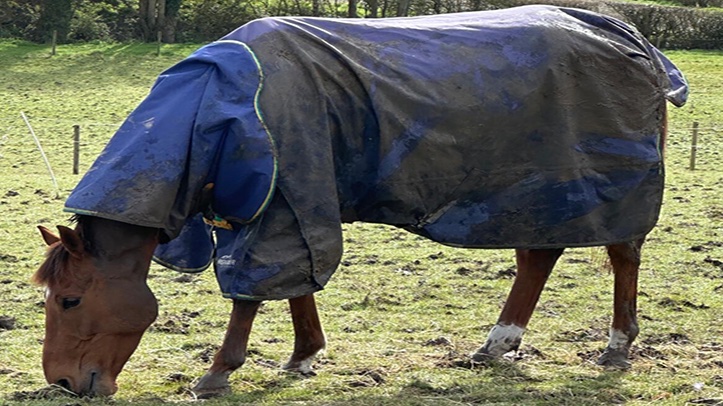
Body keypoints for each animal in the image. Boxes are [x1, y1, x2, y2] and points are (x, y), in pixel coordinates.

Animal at [33, 5, 687, 397]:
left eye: (69, 300)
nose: (63, 383)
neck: (218, 105)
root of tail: (630, 38)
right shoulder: (290, 204)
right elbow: (296, 286)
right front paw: (303, 356)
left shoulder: (278, 208)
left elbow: (252, 292)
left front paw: (218, 372)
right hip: (541, 192)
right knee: (539, 257)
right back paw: (497, 344)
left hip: (608, 188)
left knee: (623, 253)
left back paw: (617, 346)